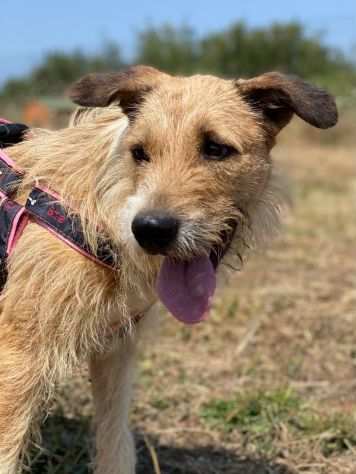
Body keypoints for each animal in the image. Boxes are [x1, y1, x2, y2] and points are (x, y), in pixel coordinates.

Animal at [0, 65, 338, 472]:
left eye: (216, 148)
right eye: (139, 152)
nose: (151, 229)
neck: (103, 212)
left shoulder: (116, 353)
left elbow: (116, 445)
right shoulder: (17, 362)